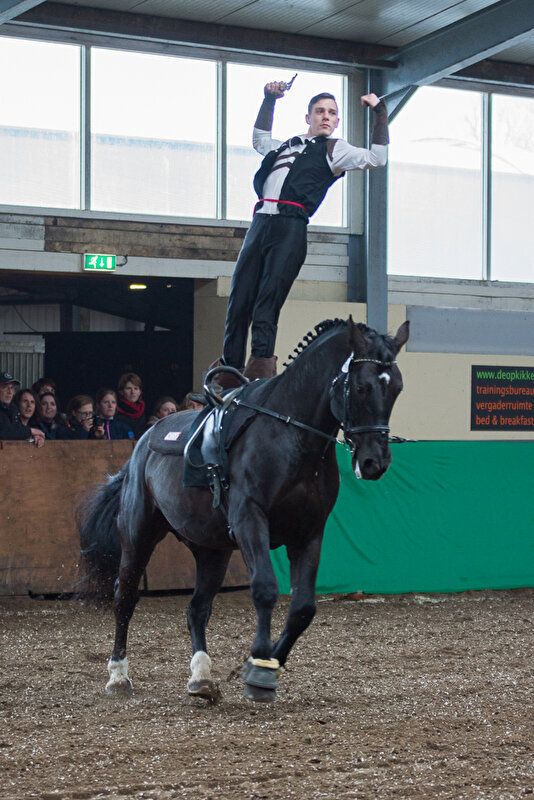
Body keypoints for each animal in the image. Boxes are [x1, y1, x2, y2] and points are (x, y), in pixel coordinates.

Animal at [78, 316, 410, 704]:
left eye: (397, 388)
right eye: (360, 386)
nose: (375, 462)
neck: (294, 438)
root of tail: (142, 444)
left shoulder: (309, 532)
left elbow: (303, 608)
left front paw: (265, 663)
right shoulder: (251, 520)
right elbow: (265, 588)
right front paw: (260, 671)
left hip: (212, 550)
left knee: (197, 608)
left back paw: (201, 677)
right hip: (139, 534)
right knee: (125, 596)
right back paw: (118, 675)